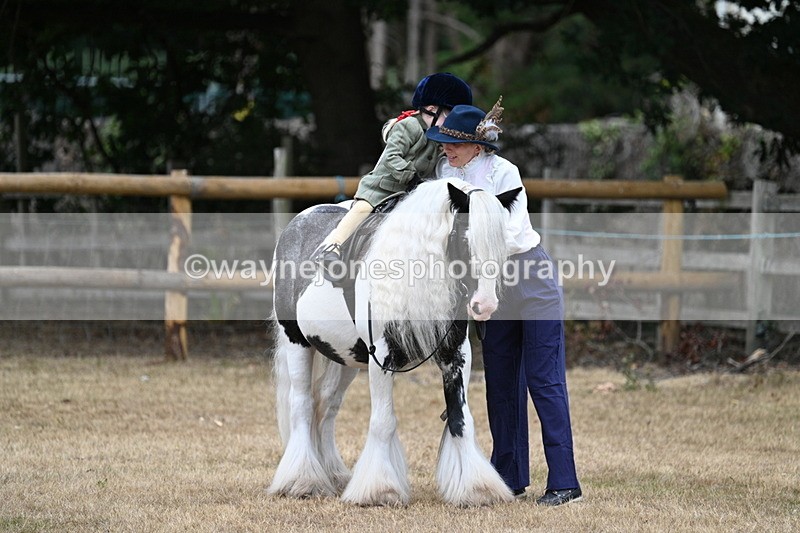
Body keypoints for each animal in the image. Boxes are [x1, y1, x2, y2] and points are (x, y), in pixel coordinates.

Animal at [267, 177, 520, 506]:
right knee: (302, 405)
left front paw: (478, 489)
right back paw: (302, 481)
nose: (484, 305)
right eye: (466, 239)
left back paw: (333, 475)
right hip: (297, 343)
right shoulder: (382, 358)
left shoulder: (455, 356)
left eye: (503, 243)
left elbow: (460, 419)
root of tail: (296, 224)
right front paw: (380, 490)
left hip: (345, 359)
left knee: (326, 407)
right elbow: (383, 422)